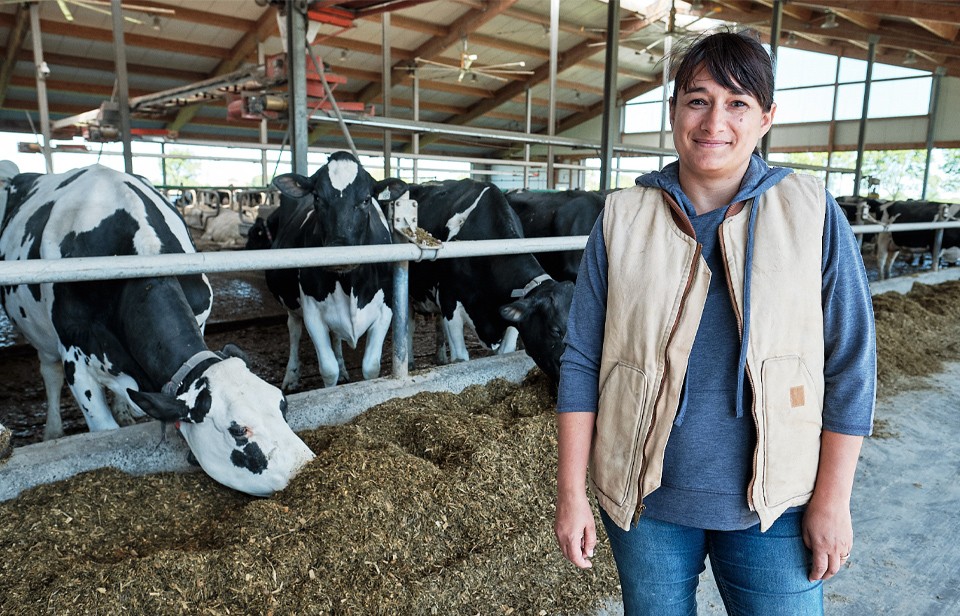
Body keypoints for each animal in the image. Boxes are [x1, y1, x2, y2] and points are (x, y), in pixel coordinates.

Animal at [0, 164, 314, 496]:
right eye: (239, 430)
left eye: (282, 404)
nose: (304, 468)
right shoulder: (76, 360)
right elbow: (102, 428)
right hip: (41, 337)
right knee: (50, 373)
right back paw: (53, 430)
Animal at [260, 151, 404, 388]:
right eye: (317, 197)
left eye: (366, 199)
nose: (340, 251)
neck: (349, 284)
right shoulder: (312, 313)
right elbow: (328, 370)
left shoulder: (386, 308)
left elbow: (371, 366)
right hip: (292, 304)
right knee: (294, 329)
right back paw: (291, 376)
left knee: (335, 336)